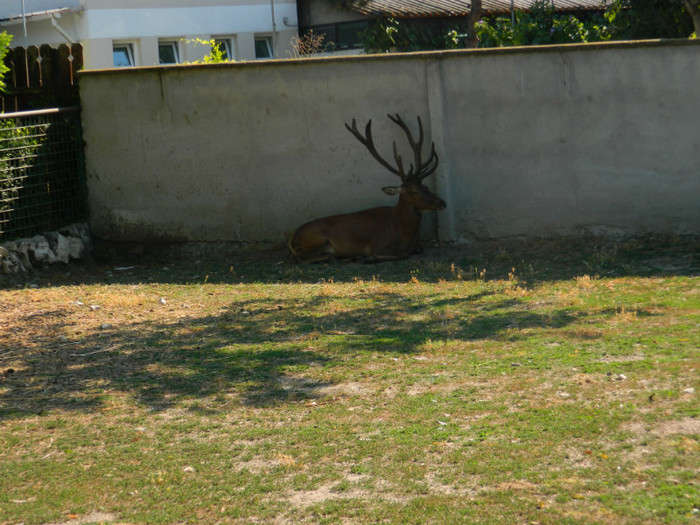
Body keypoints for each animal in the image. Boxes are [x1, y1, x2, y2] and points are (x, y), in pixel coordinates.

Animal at [288, 113, 446, 262]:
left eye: (425, 187)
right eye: (414, 190)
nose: (442, 202)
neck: (404, 234)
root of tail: (291, 238)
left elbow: (418, 249)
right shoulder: (377, 244)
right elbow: (402, 254)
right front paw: (370, 258)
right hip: (317, 237)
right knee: (302, 258)